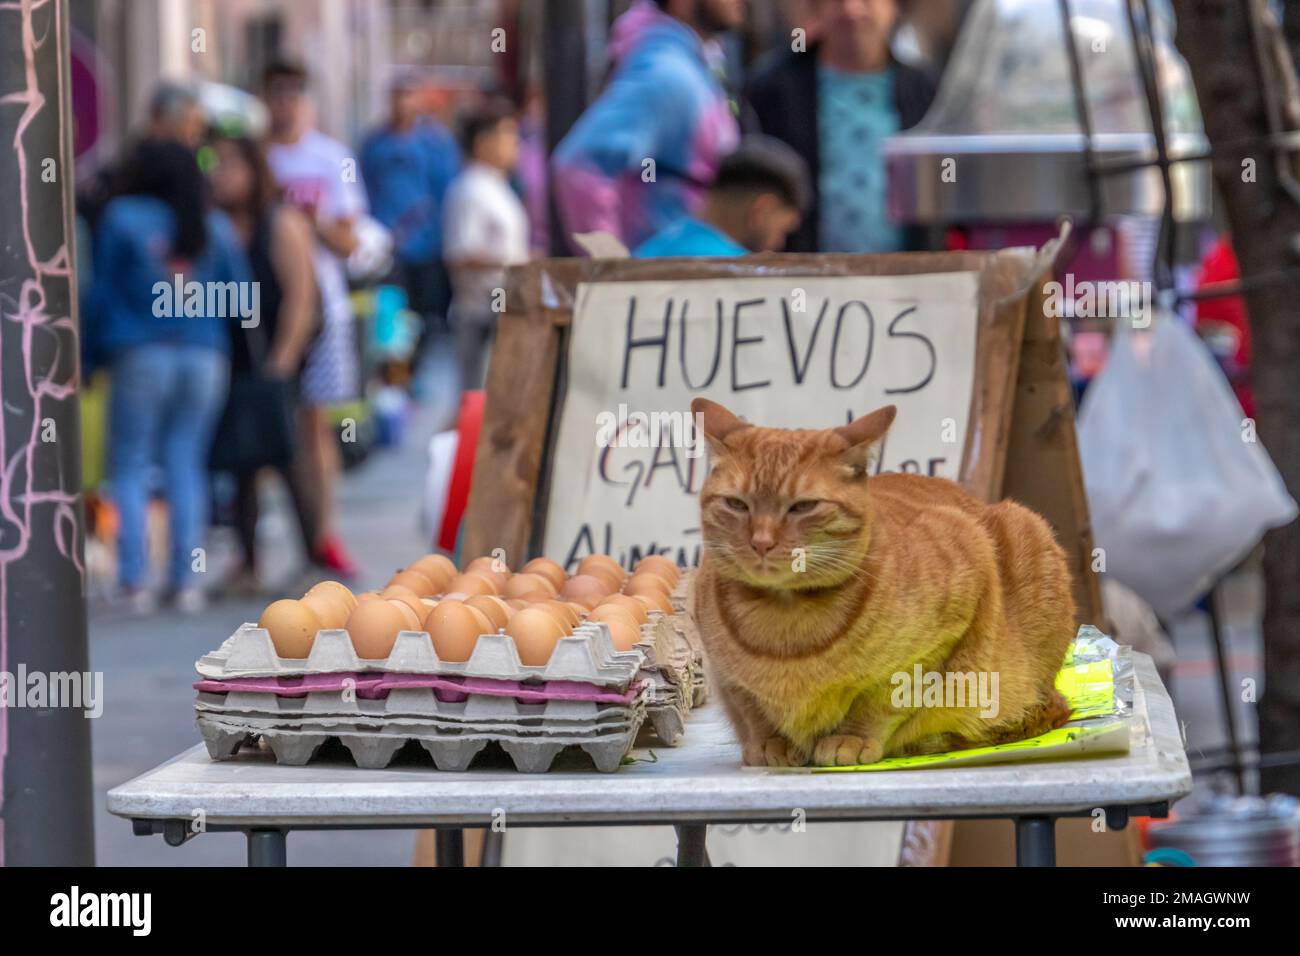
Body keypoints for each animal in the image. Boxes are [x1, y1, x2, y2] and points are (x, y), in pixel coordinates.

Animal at [691, 400, 1076, 764]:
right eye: (736, 504)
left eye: (803, 507)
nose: (761, 542)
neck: (784, 625)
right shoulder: (724, 673)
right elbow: (750, 708)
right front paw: (772, 743)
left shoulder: (954, 605)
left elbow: (884, 699)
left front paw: (852, 737)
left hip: (1026, 529)